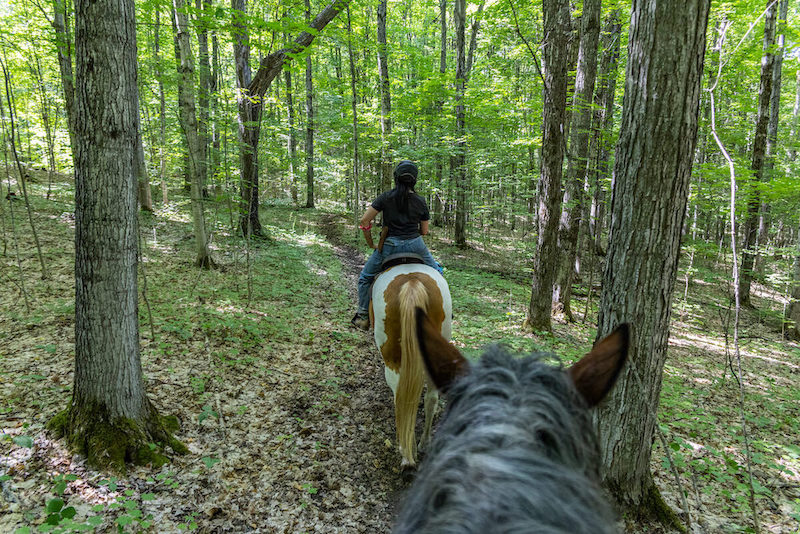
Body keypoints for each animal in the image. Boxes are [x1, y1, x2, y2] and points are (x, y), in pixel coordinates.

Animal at [368, 264, 450, 468]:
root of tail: (412, 282)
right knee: (430, 399)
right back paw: (424, 443)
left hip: (392, 360)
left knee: (401, 399)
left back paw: (406, 453)